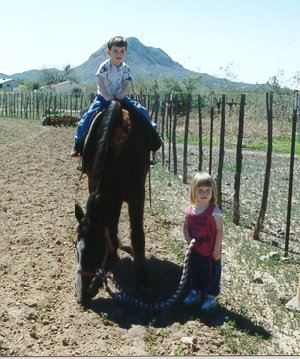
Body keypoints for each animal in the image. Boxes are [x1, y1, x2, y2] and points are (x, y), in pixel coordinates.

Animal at [74, 100, 161, 304]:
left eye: (96, 251)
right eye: (76, 250)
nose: (81, 295)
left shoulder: (138, 194)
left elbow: (137, 235)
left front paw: (143, 281)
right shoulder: (93, 183)